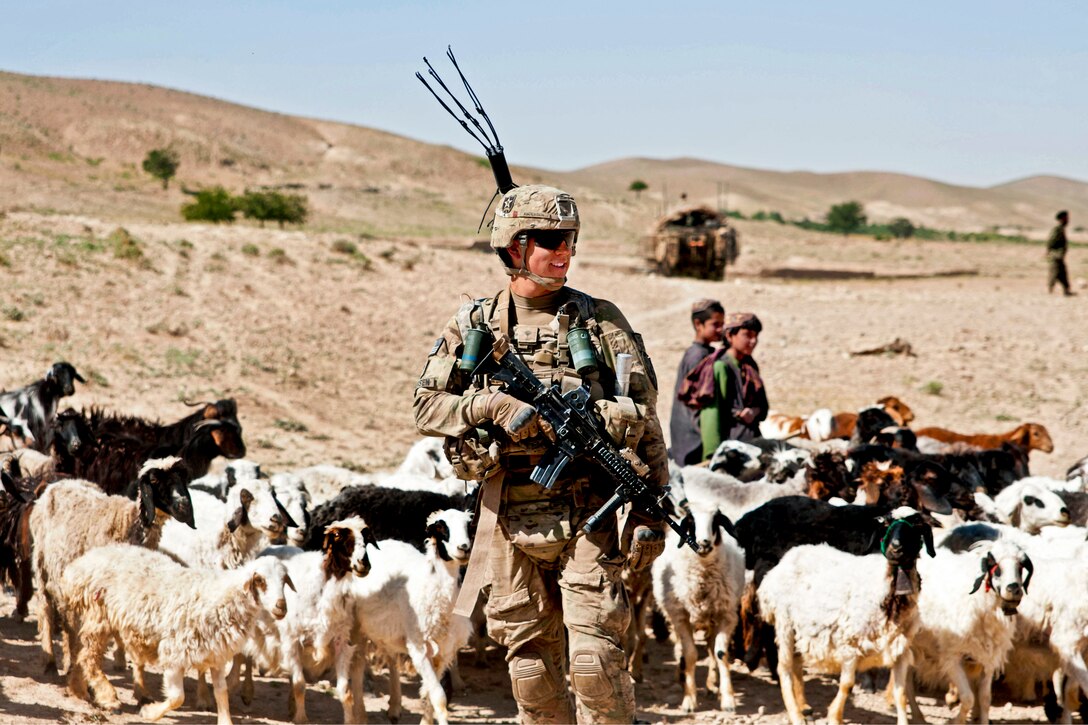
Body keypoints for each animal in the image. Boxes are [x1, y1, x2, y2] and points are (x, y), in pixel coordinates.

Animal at [59, 542, 289, 722]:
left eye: (284, 581)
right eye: (260, 580)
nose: (282, 607)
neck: (223, 598)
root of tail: (81, 564)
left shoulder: (216, 656)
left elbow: (221, 693)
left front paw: (225, 720)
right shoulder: (174, 653)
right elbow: (178, 698)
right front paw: (150, 713)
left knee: (83, 653)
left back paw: (78, 689)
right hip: (99, 614)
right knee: (89, 656)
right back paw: (108, 697)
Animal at [648, 494, 744, 709]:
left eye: (716, 521)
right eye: (691, 521)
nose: (704, 543)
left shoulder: (726, 615)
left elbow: (720, 654)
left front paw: (727, 699)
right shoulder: (680, 617)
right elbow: (690, 654)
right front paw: (689, 699)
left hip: (712, 617)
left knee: (710, 649)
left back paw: (711, 685)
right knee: (681, 651)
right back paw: (681, 676)